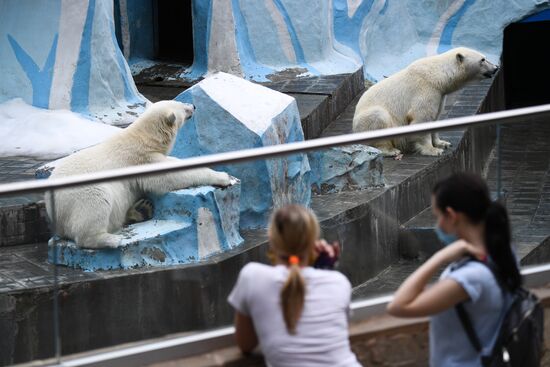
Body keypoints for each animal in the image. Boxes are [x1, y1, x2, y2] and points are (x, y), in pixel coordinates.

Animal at [46, 100, 236, 250]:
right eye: (182, 107)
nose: (193, 106)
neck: (144, 138)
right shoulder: (142, 161)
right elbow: (171, 176)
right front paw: (224, 177)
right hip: (81, 194)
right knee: (95, 206)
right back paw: (112, 239)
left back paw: (141, 209)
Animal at [354, 46, 500, 156]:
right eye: (482, 59)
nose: (496, 68)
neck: (437, 76)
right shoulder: (425, 90)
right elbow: (421, 118)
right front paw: (433, 150)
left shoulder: (440, 95)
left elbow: (435, 117)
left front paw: (443, 143)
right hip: (366, 120)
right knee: (378, 117)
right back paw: (391, 150)